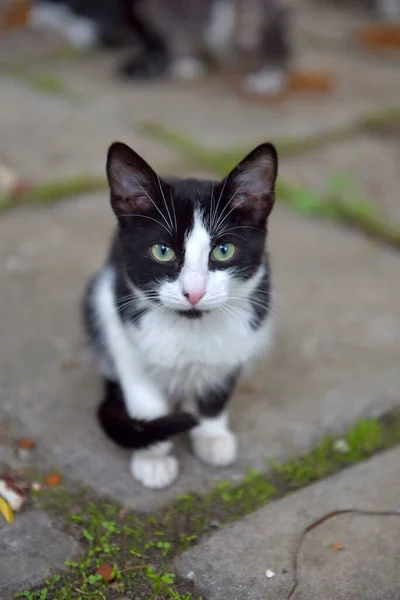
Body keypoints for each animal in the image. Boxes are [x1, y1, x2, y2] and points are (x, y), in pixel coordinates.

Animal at [83, 143, 278, 490]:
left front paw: (211, 435)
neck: (190, 326)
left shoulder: (245, 332)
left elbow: (217, 388)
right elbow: (145, 398)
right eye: (162, 251)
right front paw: (154, 458)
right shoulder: (114, 310)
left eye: (223, 251)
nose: (194, 293)